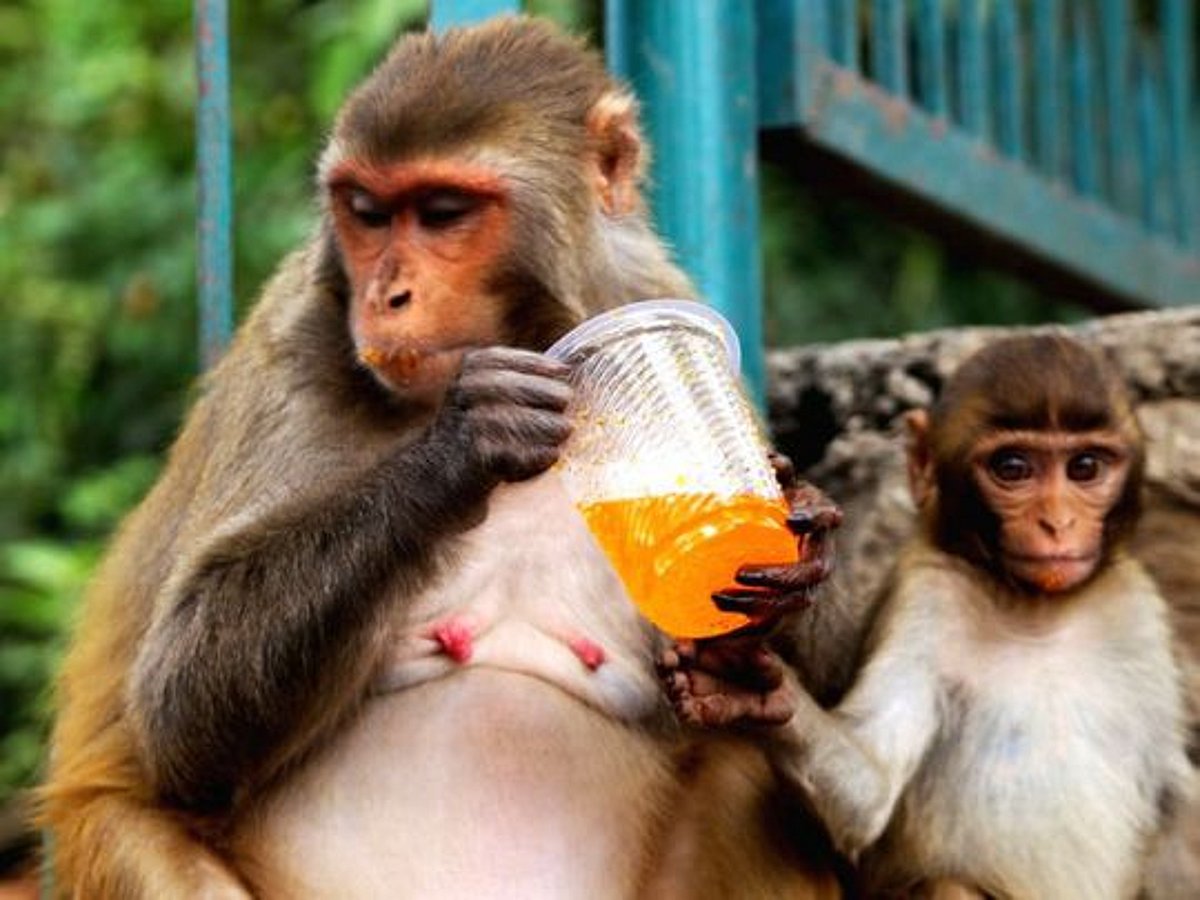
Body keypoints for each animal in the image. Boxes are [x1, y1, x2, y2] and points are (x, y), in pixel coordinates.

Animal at [39, 18, 843, 899]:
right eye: (366, 212)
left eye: (443, 213)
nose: (386, 296)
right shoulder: (294, 336)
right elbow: (179, 714)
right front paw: (465, 443)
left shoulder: (654, 292)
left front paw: (787, 557)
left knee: (744, 773)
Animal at [661, 333, 1193, 899]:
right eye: (1013, 468)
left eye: (1085, 468)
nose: (1057, 523)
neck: (1034, 609)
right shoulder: (928, 597)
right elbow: (868, 795)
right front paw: (746, 690)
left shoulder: (1136, 612)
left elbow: (1176, 800)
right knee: (949, 885)